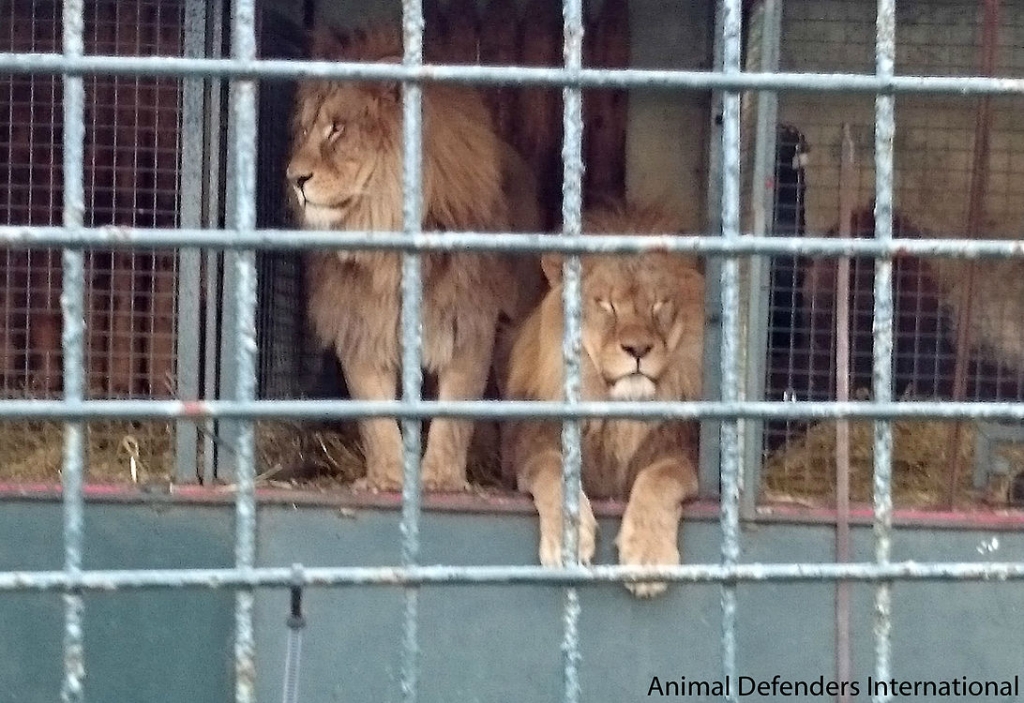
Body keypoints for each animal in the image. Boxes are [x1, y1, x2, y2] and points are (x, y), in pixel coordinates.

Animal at [286, 25, 543, 492]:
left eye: (337, 129)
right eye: (307, 129)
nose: (294, 178)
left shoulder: (469, 325)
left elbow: (455, 412)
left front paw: (441, 479)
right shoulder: (361, 327)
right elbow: (375, 414)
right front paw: (385, 478)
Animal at [502, 201, 705, 597]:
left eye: (660, 304)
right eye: (607, 305)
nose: (638, 349)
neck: (619, 413)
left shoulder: (682, 453)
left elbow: (660, 478)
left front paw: (647, 557)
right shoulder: (530, 448)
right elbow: (553, 469)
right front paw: (568, 540)